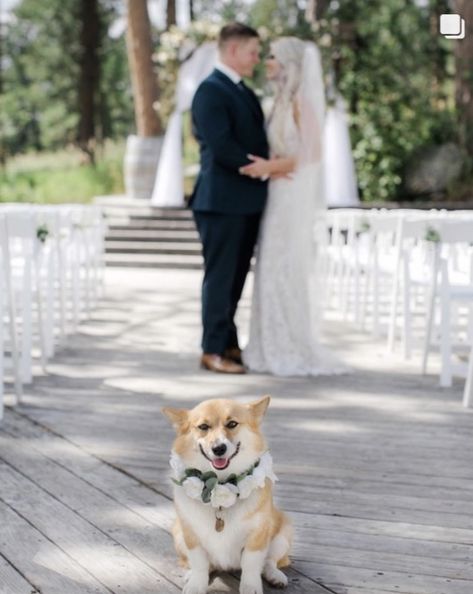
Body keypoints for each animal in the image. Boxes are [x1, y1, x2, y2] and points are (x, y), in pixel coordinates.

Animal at [163, 396, 292, 592]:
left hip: (282, 534)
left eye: (232, 424)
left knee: (270, 561)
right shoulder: (190, 535)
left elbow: (251, 564)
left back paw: (275, 576)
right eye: (203, 427)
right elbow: (200, 563)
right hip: (178, 535)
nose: (219, 448)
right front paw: (196, 585)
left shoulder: (257, 536)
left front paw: (250, 588)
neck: (221, 485)